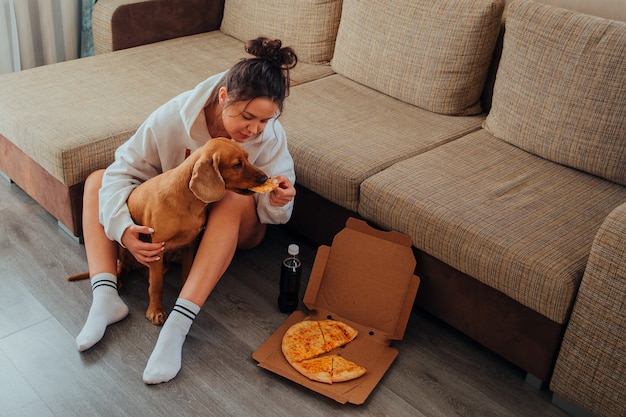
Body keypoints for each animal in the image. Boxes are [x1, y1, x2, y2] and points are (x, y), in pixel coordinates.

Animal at [69, 138, 268, 324]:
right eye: (237, 164)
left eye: (247, 158)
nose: (265, 178)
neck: (188, 202)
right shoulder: (156, 249)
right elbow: (157, 284)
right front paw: (156, 311)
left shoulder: (189, 244)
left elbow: (187, 272)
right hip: (123, 251)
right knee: (120, 266)